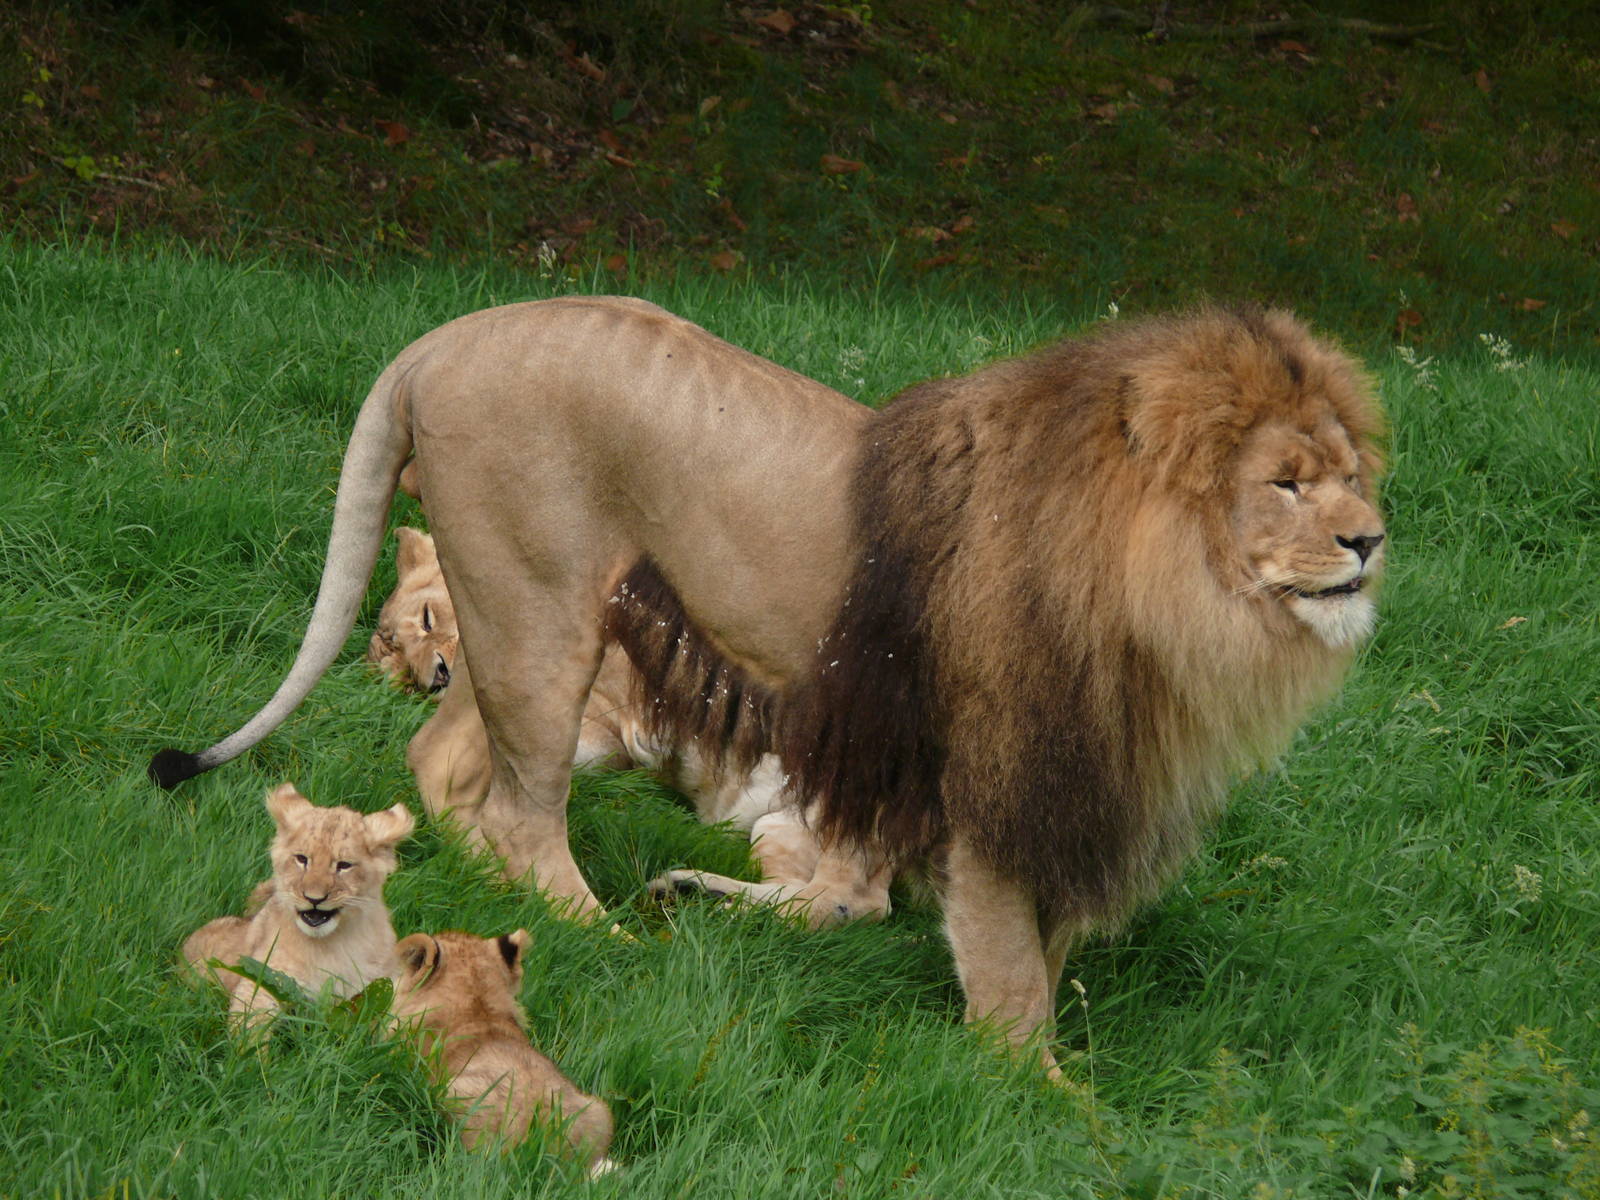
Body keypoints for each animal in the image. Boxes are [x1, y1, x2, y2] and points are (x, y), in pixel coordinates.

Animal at [182, 782, 414, 1021]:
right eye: (302, 859)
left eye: (344, 865)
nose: (314, 898)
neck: (330, 945)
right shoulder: (264, 980)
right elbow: (250, 1022)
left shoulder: (382, 987)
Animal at [375, 525, 892, 926]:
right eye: (400, 676)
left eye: (426, 619)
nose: (436, 675)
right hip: (778, 826)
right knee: (833, 897)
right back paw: (694, 892)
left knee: (851, 899)